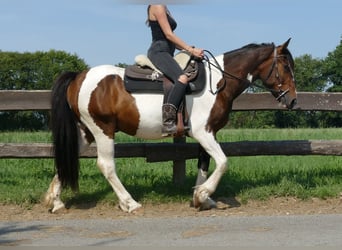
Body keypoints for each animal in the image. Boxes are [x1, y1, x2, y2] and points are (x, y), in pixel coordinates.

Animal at [44, 38, 296, 213]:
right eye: (285, 66)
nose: (293, 100)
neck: (218, 82)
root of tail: (79, 77)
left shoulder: (209, 133)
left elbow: (204, 164)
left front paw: (201, 198)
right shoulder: (203, 132)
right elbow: (223, 162)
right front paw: (203, 194)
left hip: (86, 131)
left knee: (67, 157)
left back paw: (56, 201)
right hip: (102, 129)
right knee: (106, 165)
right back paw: (130, 203)